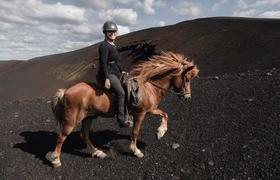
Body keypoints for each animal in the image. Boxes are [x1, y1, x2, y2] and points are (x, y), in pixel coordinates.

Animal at [46, 51, 199, 167]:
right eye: (186, 78)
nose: (188, 97)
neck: (149, 87)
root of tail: (65, 91)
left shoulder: (151, 109)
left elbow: (165, 114)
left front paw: (160, 133)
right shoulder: (141, 113)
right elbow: (135, 132)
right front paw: (136, 151)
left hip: (88, 117)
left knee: (84, 134)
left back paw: (97, 152)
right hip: (72, 118)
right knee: (62, 136)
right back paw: (56, 160)